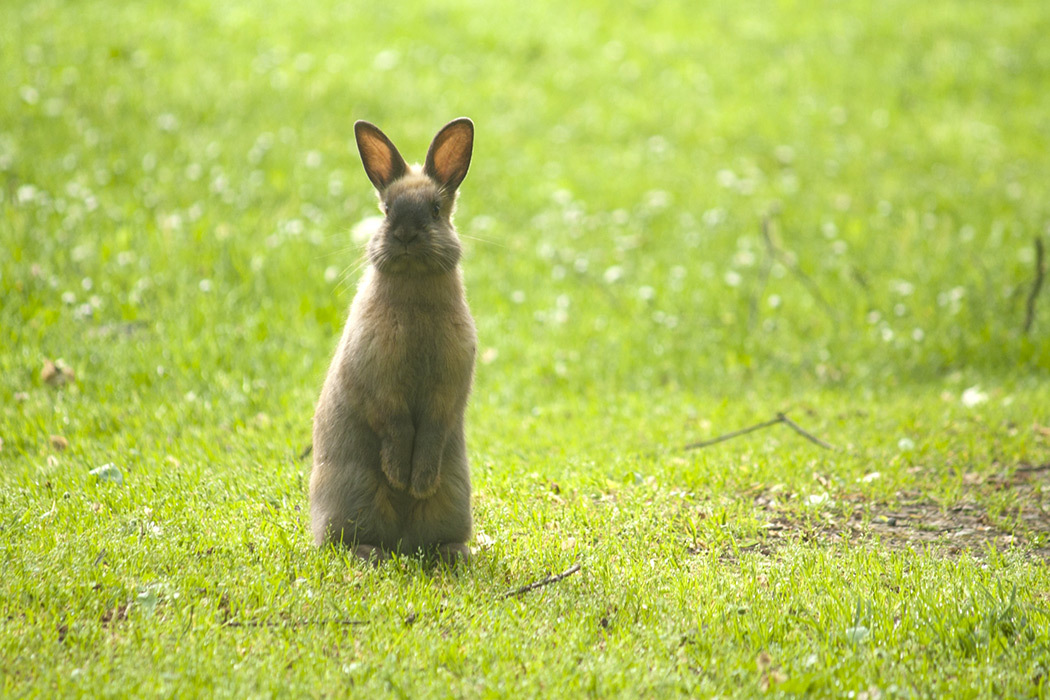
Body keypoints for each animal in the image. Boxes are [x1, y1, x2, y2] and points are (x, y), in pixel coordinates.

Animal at [308, 116, 478, 562]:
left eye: (435, 210)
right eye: (386, 211)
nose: (404, 235)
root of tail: (404, 544)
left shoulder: (447, 388)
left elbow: (432, 429)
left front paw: (418, 483)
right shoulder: (380, 381)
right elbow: (397, 426)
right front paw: (401, 478)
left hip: (455, 499)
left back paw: (452, 554)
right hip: (349, 494)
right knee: (340, 542)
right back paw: (375, 554)